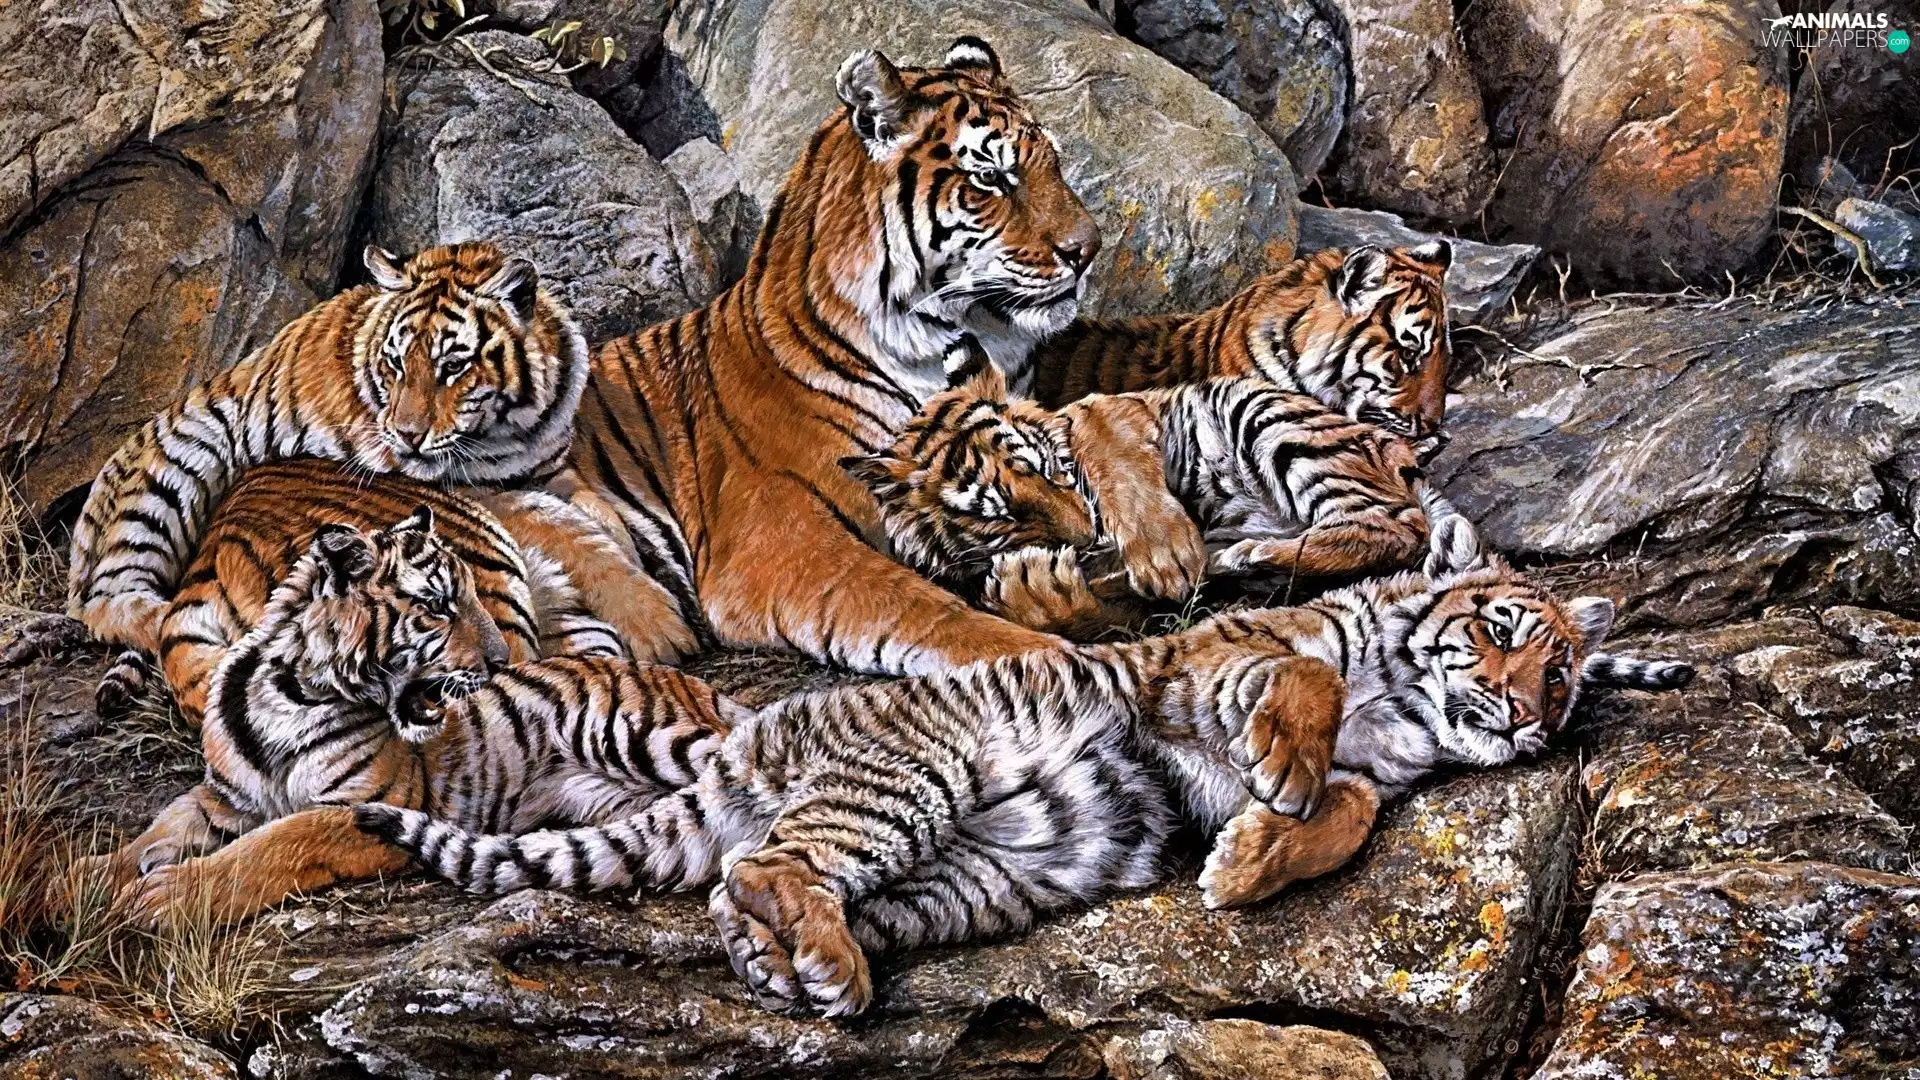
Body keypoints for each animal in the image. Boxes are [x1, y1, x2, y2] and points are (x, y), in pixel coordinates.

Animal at [72, 506, 732, 928]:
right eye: (439, 606)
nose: (501, 660)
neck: (286, 695)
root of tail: (689, 681)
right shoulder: (224, 800)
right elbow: (156, 832)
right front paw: (77, 883)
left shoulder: (362, 807)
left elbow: (270, 847)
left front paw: (167, 896)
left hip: (642, 733)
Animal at [357, 521, 1688, 1019]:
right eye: (1506, 633)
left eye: (1564, 679)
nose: (1527, 722)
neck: (1407, 710)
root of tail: (752, 742)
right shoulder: (1209, 662)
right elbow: (1304, 690)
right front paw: (1282, 789)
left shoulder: (1364, 770)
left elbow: (1351, 814)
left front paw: (1251, 859)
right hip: (917, 774)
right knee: (777, 865)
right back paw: (823, 968)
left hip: (982, 877)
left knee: (754, 886)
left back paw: (792, 970)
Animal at [554, 37, 1111, 676]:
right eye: (992, 177)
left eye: (1055, 164)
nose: (1089, 249)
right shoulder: (779, 538)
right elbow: (918, 606)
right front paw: (1050, 657)